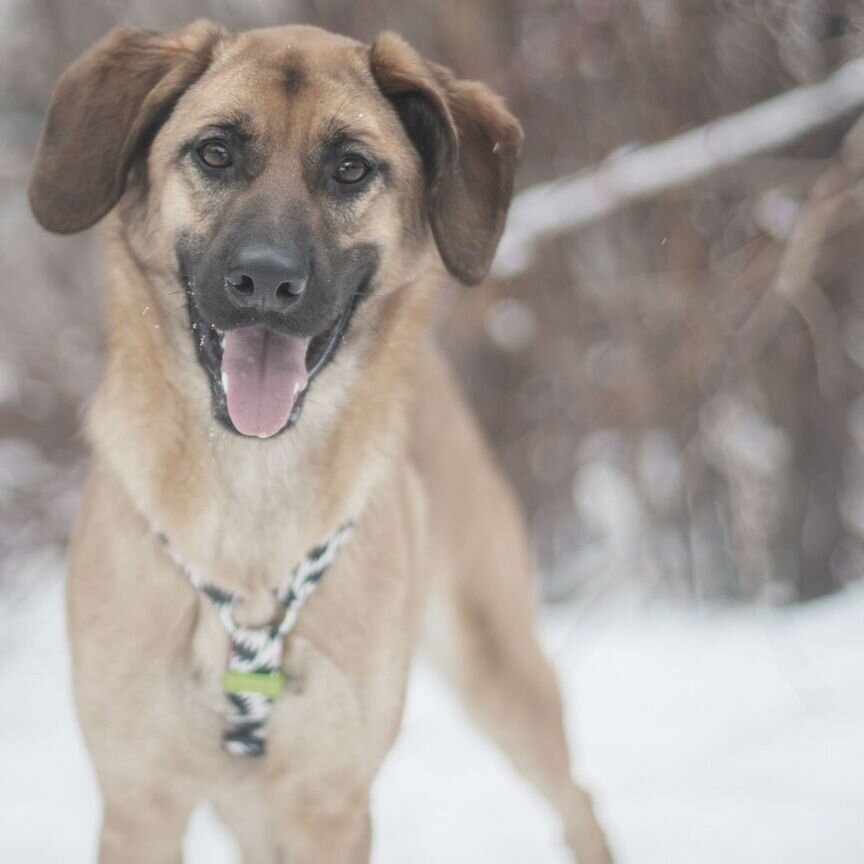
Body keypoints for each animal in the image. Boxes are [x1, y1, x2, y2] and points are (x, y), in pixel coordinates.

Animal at [28, 20, 616, 864]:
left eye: (350, 168)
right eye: (215, 153)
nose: (266, 282)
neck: (252, 503)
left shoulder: (327, 805)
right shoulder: (141, 802)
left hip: (499, 664)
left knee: (578, 801)